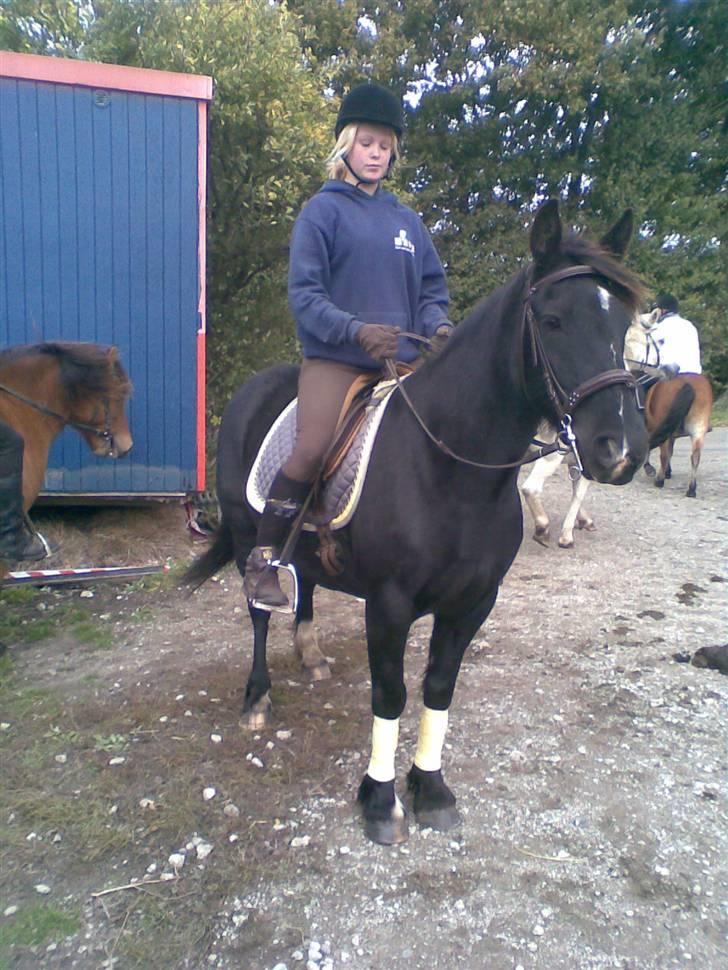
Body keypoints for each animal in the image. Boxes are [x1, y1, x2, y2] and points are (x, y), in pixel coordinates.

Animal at [184, 200, 648, 845]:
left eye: (623, 326)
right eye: (553, 321)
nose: (622, 449)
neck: (450, 469)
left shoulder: (473, 602)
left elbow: (437, 689)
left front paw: (430, 787)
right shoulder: (390, 604)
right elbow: (390, 693)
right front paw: (380, 800)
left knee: (304, 588)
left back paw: (311, 654)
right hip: (251, 540)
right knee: (258, 609)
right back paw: (257, 699)